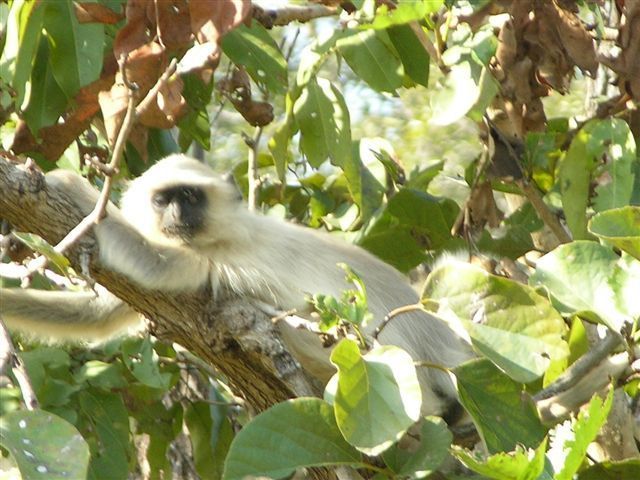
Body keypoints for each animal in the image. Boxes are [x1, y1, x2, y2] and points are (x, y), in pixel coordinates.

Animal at [1, 154, 476, 416]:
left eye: (190, 197)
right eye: (164, 199)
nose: (177, 215)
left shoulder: (221, 252)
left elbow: (153, 262)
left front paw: (63, 182)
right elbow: (96, 317)